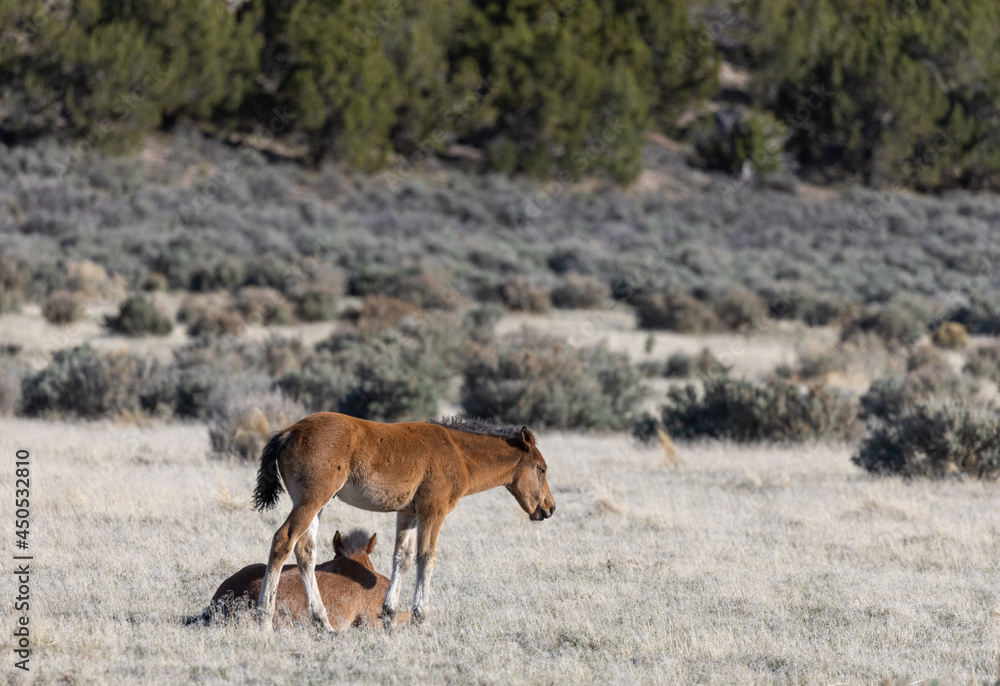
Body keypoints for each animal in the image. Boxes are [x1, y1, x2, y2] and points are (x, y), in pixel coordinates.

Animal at [252, 413, 555, 632]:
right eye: (542, 469)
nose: (549, 508)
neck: (457, 452)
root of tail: (290, 432)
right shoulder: (433, 509)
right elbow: (427, 556)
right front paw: (421, 615)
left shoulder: (408, 513)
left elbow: (403, 557)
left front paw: (389, 614)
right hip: (313, 499)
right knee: (283, 540)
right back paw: (264, 617)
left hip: (315, 504)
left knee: (305, 551)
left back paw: (323, 622)